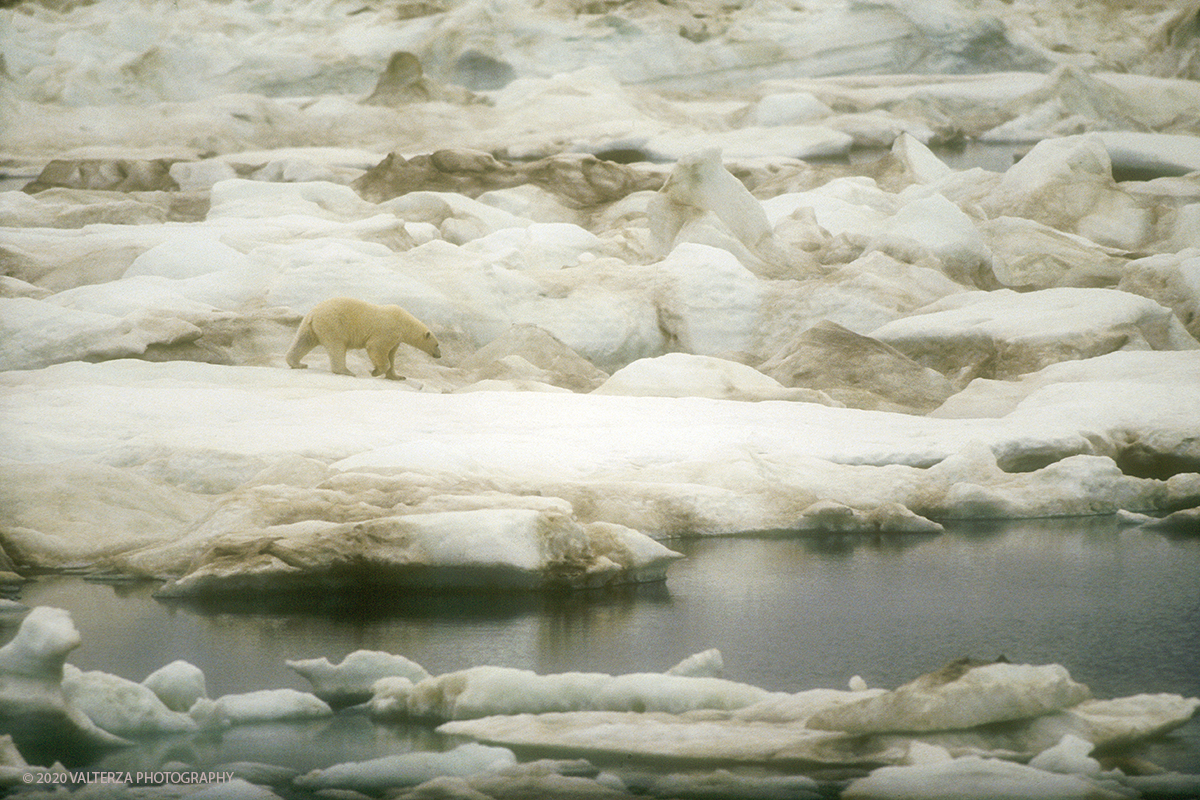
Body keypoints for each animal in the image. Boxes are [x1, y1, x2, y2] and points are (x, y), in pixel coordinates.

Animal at [285, 297, 441, 379]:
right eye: (437, 344)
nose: (439, 355)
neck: (404, 322)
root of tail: (313, 314)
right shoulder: (388, 331)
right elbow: (376, 348)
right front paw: (375, 372)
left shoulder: (396, 339)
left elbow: (391, 355)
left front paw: (398, 376)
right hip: (333, 325)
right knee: (337, 347)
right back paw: (346, 371)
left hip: (309, 326)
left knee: (303, 341)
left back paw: (298, 363)